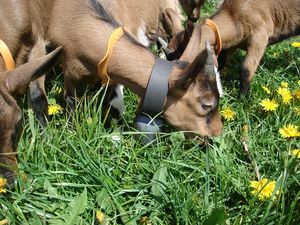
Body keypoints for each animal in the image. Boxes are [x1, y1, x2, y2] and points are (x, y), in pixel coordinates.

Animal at [169, 0, 300, 94]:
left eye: (180, 52)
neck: (232, 14)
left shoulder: (260, 36)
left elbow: (246, 68)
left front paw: (243, 99)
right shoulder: (233, 43)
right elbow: (221, 62)